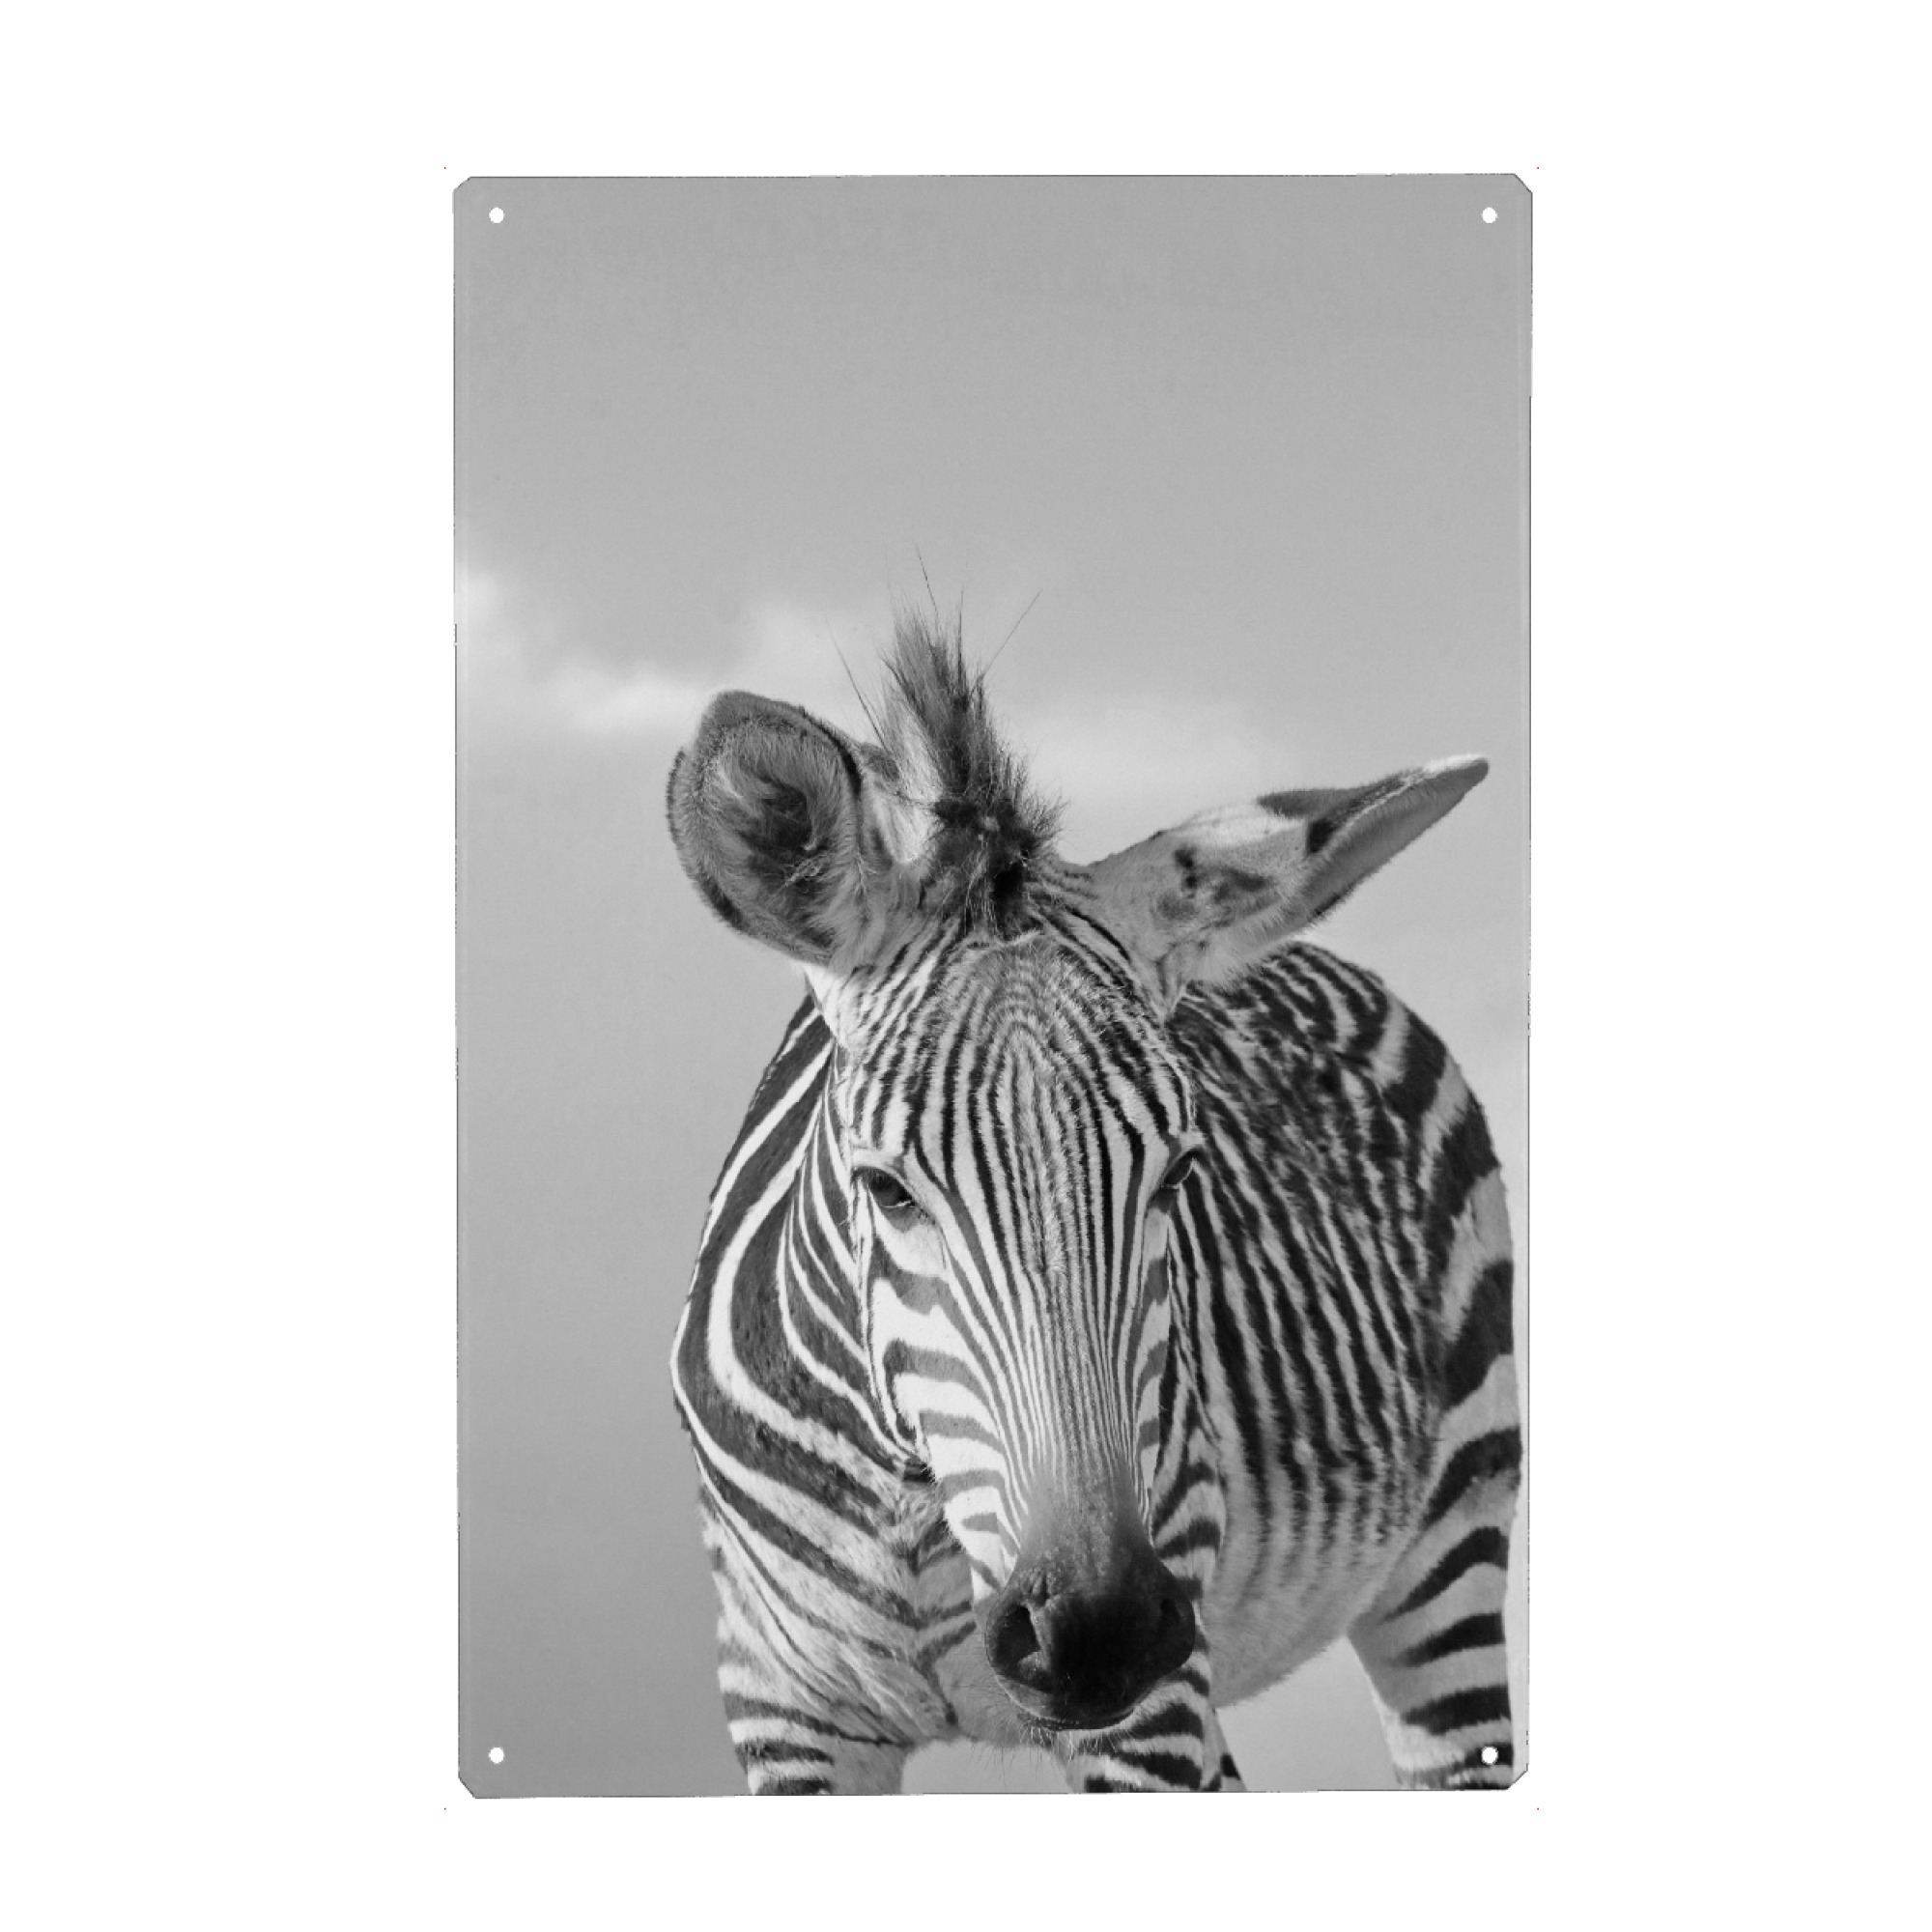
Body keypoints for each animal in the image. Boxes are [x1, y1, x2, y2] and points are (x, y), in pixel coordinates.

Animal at [665, 615, 1520, 1793]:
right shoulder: (782, 1706)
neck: (909, 1513)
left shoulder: (1151, 1703)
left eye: (1178, 1173)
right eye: (885, 1189)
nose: (1094, 1633)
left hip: (1447, 1552)